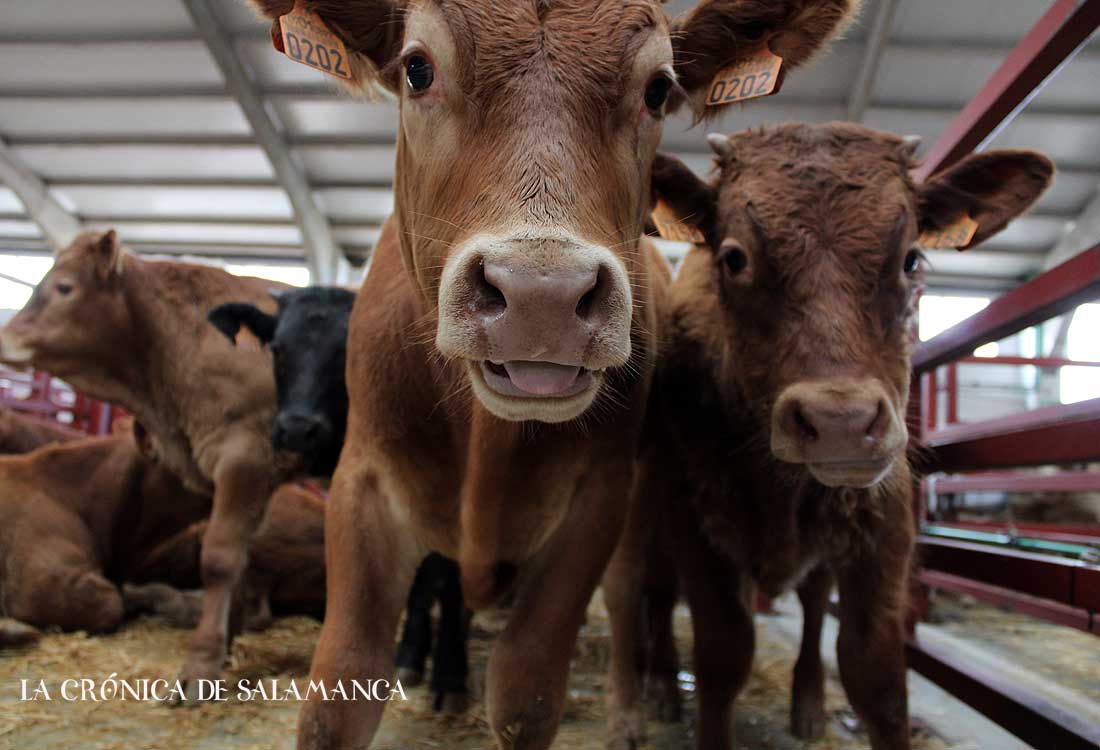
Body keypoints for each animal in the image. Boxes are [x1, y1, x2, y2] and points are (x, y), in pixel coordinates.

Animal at [0, 230, 288, 699]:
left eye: (64, 287)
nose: (4, 338)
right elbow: (241, 561)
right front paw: (223, 649)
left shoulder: (244, 456)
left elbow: (220, 559)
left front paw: (199, 667)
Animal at [207, 285, 470, 712]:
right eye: (278, 349)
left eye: (348, 350)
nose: (298, 429)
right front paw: (408, 656)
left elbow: (448, 582)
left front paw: (451, 678)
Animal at [240, 1, 858, 747]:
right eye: (418, 68)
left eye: (658, 89)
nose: (542, 295)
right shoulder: (361, 481)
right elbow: (341, 691)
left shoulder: (597, 499)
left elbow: (526, 691)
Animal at [602, 122, 1056, 747]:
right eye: (734, 257)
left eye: (911, 258)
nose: (840, 422)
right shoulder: (695, 522)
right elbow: (722, 656)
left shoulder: (883, 524)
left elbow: (876, 678)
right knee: (658, 592)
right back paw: (666, 687)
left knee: (815, 603)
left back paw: (808, 702)